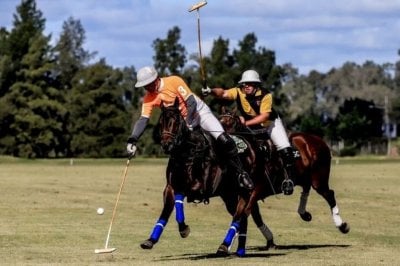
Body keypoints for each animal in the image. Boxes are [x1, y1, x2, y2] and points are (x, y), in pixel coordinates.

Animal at [217, 109, 352, 251]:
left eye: (229, 123)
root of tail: (320, 141)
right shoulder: (235, 196)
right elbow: (243, 216)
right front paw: (227, 244)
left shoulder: (256, 190)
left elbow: (245, 214)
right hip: (304, 176)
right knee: (306, 188)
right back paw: (304, 213)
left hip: (319, 179)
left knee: (329, 194)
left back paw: (342, 225)